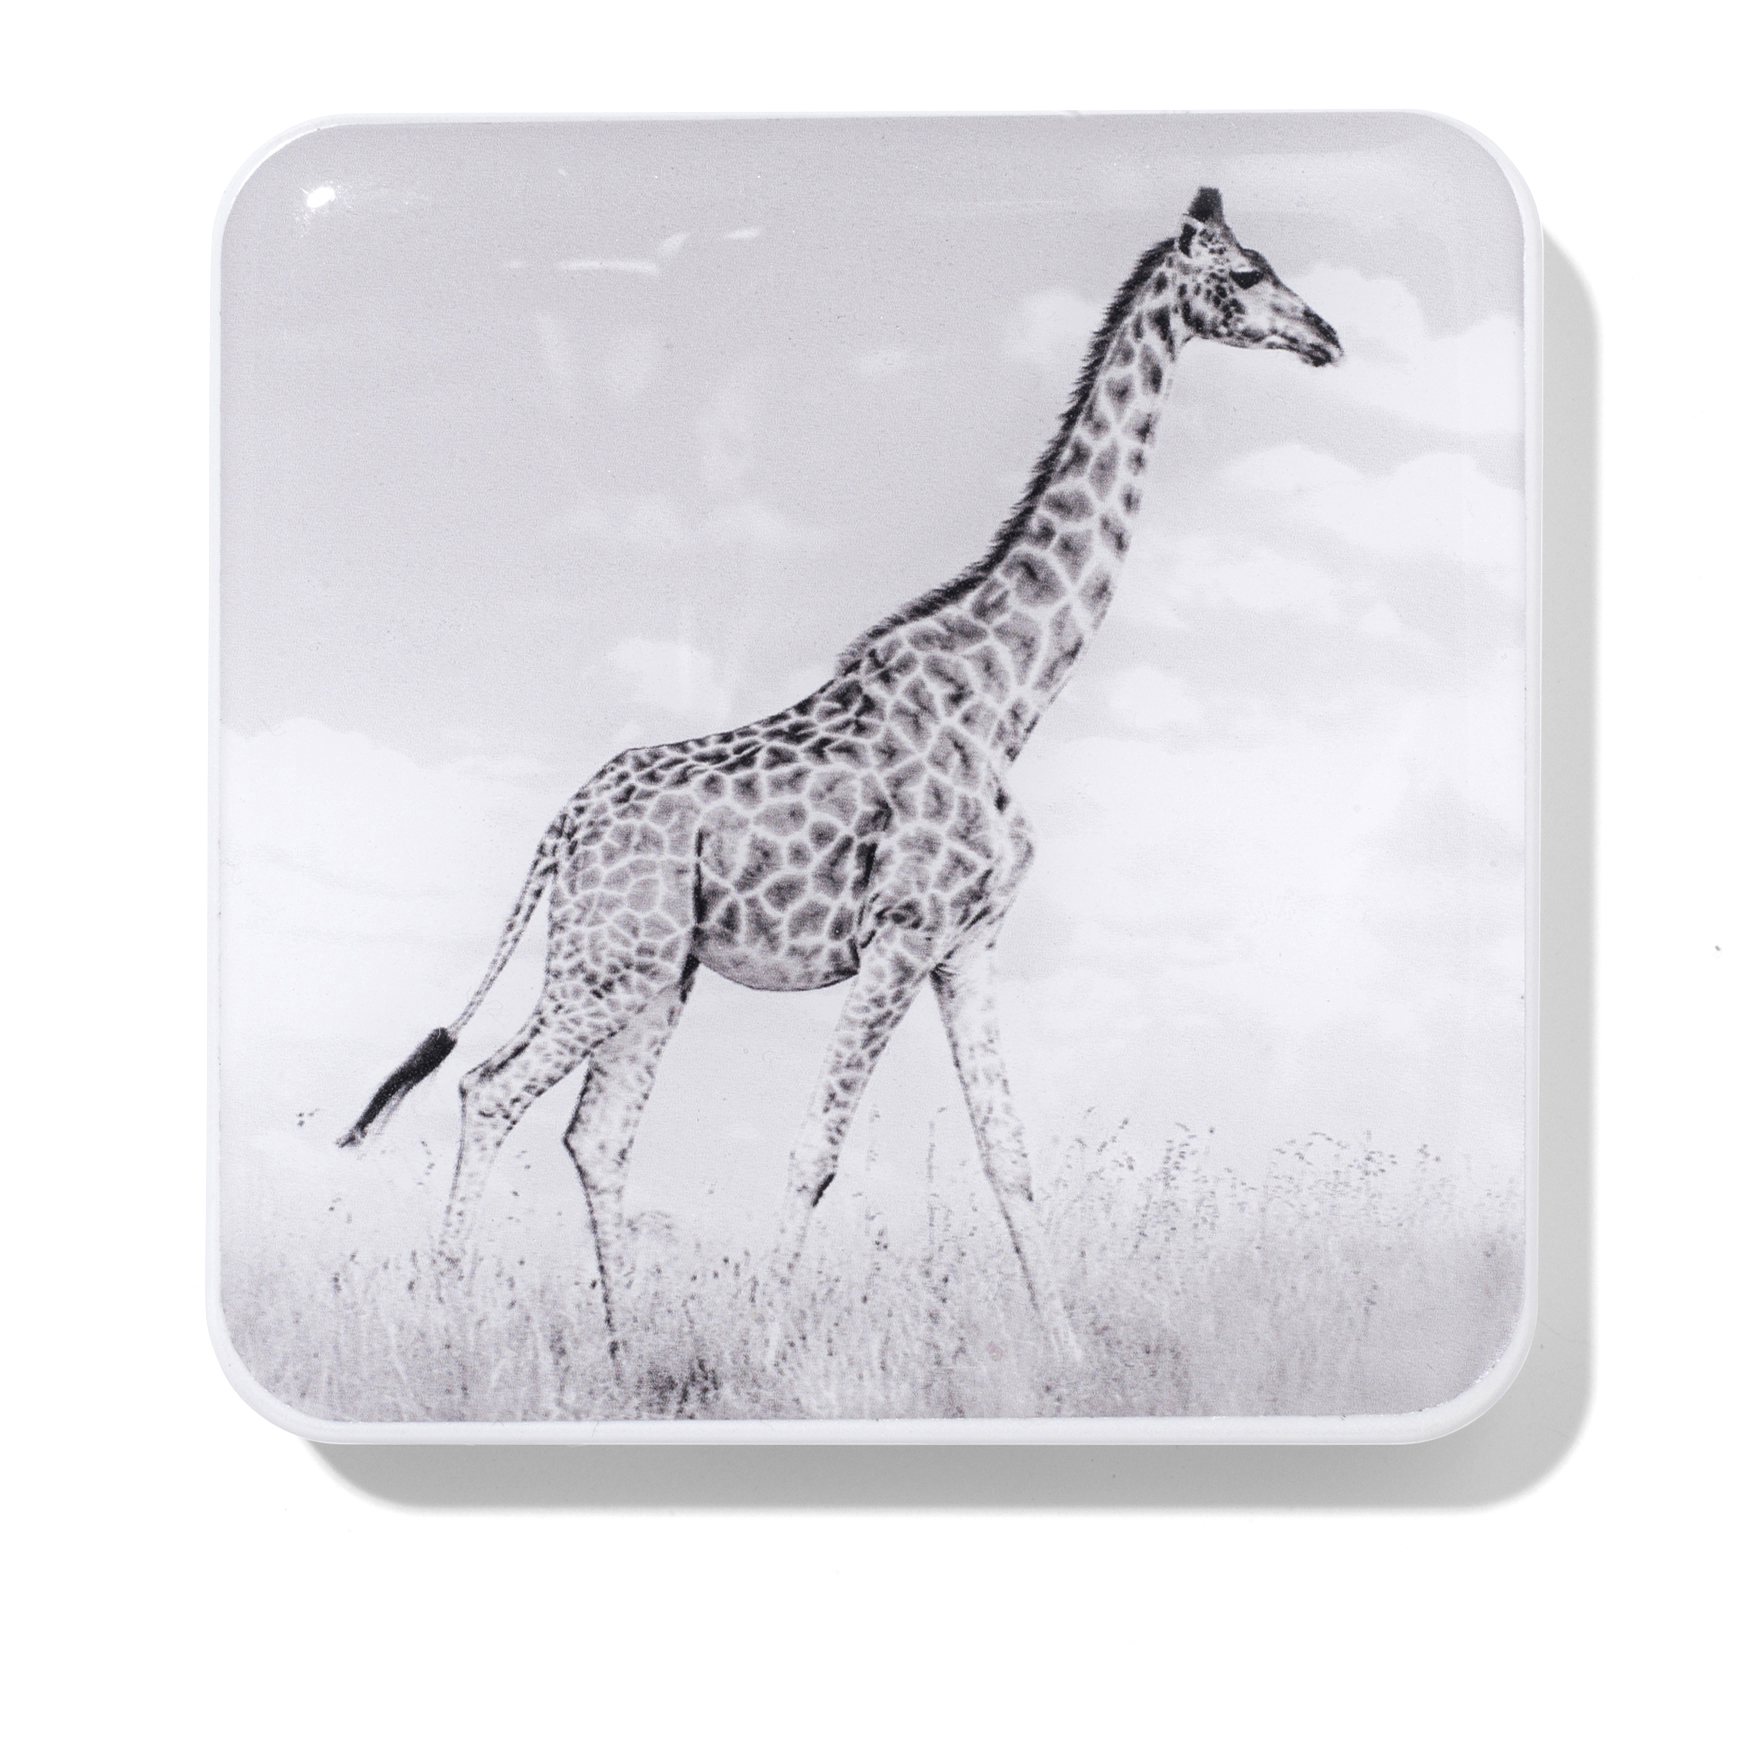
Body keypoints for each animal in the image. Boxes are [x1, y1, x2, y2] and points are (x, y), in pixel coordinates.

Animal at [337, 187, 1341, 1370]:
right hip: (608, 962)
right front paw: (767, 1353)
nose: (1326, 336)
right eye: (1245, 276)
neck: (1008, 700)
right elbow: (813, 1152)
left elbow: (1009, 1154)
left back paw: (626, 1351)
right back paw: (446, 1325)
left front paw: (1069, 1357)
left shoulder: (967, 943)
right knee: (490, 1090)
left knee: (594, 1132)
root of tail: (560, 827)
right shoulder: (901, 934)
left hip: (652, 969)